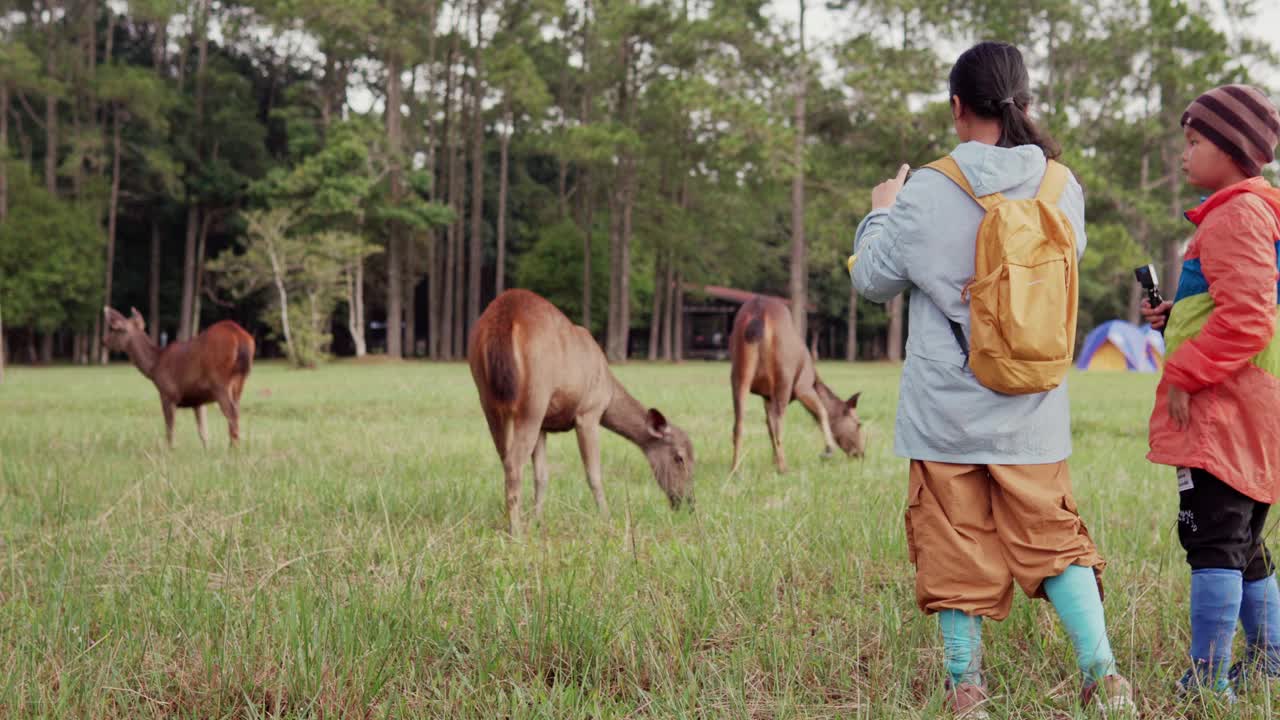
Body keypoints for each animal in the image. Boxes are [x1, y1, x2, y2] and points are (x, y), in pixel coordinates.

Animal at [104, 304, 257, 445]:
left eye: (115, 329)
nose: (103, 341)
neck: (154, 366)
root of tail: (241, 337)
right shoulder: (198, 400)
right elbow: (204, 433)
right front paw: (207, 451)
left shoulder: (168, 393)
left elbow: (170, 431)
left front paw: (170, 451)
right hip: (239, 381)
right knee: (236, 412)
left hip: (219, 381)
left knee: (232, 414)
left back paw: (232, 450)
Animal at [468, 286, 696, 532]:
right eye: (679, 457)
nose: (689, 503)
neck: (609, 390)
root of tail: (503, 317)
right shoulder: (589, 411)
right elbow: (593, 474)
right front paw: (606, 518)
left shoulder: (544, 426)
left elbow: (542, 475)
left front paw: (538, 520)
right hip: (535, 397)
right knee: (513, 463)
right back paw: (516, 530)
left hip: (488, 399)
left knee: (505, 459)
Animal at [727, 294, 865, 474]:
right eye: (858, 424)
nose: (861, 454)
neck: (815, 379)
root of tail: (759, 313)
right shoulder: (803, 386)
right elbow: (822, 411)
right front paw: (828, 450)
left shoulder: (767, 397)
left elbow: (768, 425)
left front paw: (773, 461)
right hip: (784, 377)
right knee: (778, 424)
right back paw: (783, 468)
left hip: (739, 373)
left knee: (739, 424)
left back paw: (735, 469)